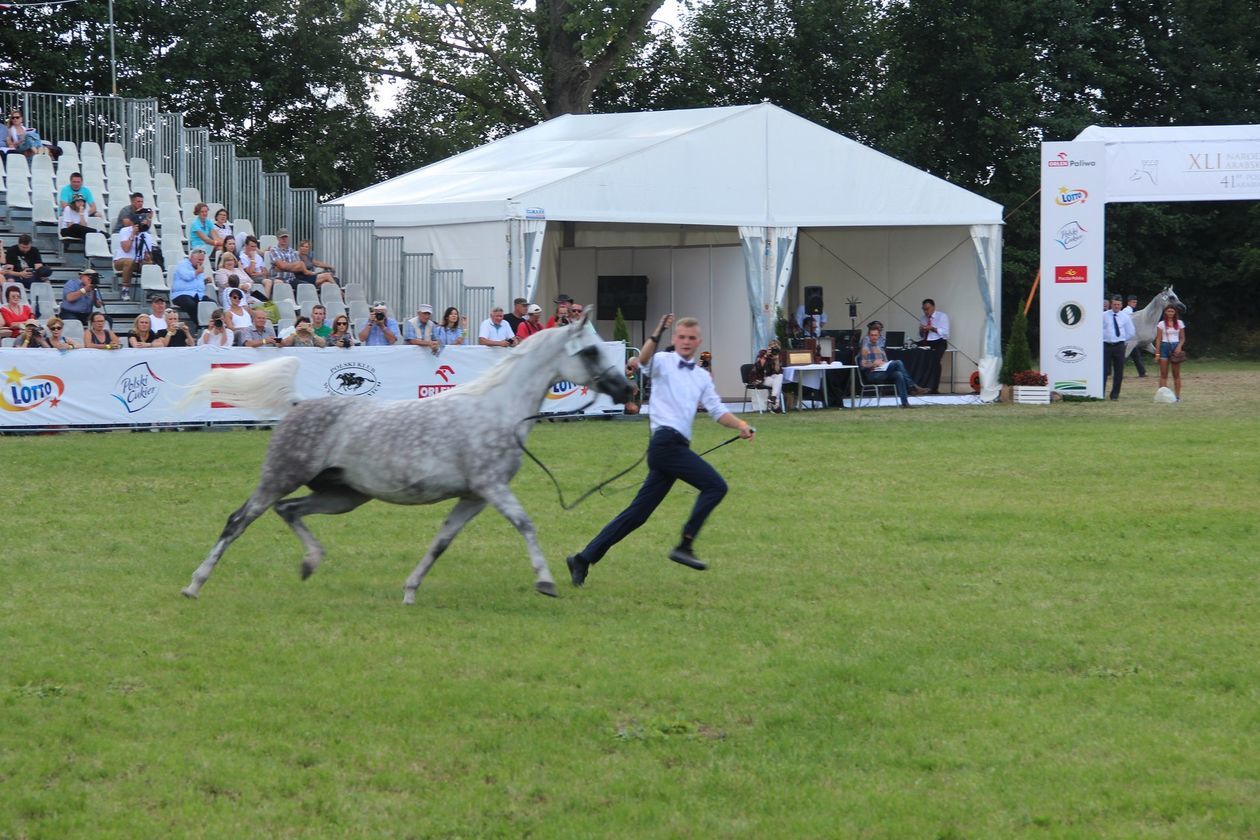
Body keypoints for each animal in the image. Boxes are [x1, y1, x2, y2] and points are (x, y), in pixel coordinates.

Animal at [180, 317, 630, 604]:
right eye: (590, 351)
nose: (626, 388)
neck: (498, 410)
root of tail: (298, 404)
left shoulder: (474, 497)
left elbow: (441, 542)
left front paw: (410, 590)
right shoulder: (492, 488)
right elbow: (526, 525)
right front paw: (546, 582)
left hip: (343, 496)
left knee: (289, 511)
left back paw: (310, 564)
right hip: (280, 477)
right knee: (238, 521)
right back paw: (194, 585)